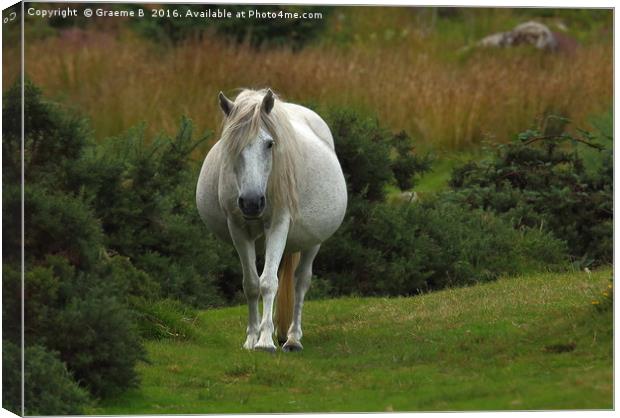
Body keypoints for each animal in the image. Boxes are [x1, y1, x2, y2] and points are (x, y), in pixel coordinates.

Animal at [196, 89, 346, 352]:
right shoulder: (238, 228)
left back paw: (293, 338)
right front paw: (251, 339)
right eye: (231, 145)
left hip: (312, 242)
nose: (252, 202)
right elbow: (251, 284)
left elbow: (268, 282)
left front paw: (265, 341)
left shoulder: (278, 223)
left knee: (300, 283)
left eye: (269, 143)